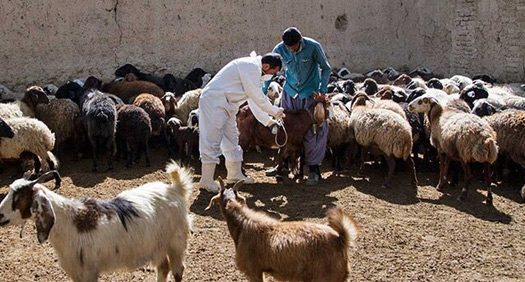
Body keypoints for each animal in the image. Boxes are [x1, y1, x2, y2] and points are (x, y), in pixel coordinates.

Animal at [0, 161, 192, 282]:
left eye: (18, 198)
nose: (0, 215)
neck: (70, 222)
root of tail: (175, 188)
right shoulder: (76, 272)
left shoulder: (88, 272)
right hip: (158, 245)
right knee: (163, 268)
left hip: (176, 242)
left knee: (177, 271)